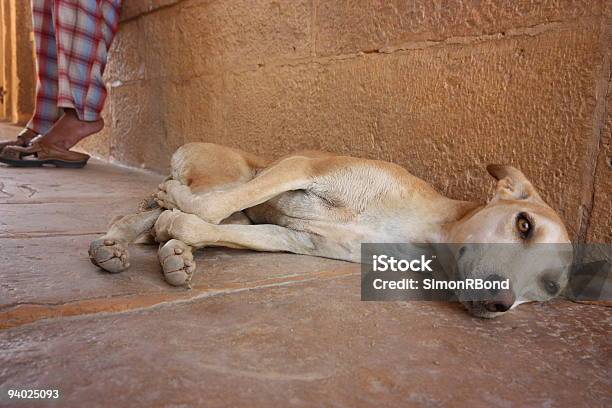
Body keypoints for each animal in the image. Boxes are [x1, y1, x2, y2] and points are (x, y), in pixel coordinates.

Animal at [88, 143, 572, 318]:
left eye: (550, 287)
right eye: (524, 224)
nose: (501, 303)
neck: (421, 229)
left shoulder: (295, 239)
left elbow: (211, 226)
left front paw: (181, 232)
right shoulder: (301, 167)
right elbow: (206, 207)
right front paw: (176, 213)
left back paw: (162, 250)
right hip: (232, 172)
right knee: (158, 209)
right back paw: (120, 240)